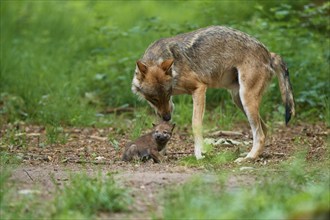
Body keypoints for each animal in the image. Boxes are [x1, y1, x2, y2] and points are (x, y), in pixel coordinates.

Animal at [130, 26, 296, 163]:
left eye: (168, 92)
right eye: (154, 99)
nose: (167, 117)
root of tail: (269, 53)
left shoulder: (199, 89)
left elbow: (195, 124)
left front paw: (199, 154)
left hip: (246, 99)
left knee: (260, 134)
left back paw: (248, 158)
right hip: (238, 100)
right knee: (265, 129)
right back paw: (253, 156)